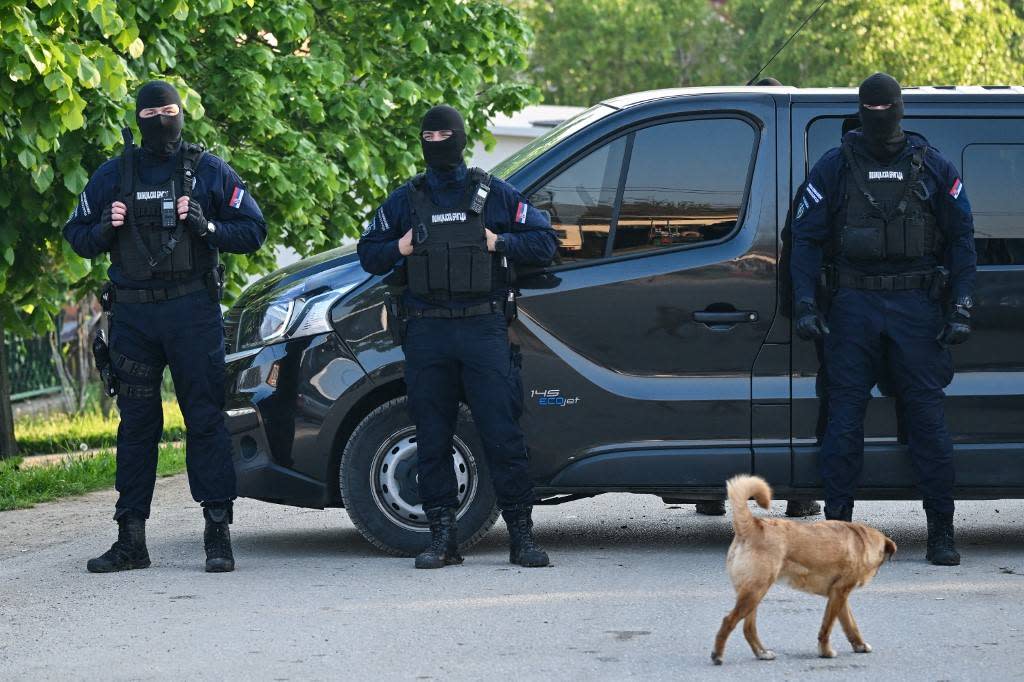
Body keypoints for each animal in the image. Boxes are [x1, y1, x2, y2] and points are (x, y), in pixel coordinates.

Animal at [712, 475, 897, 659]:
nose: (875, 574)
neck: (862, 540)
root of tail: (752, 525)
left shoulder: (839, 596)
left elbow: (850, 625)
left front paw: (859, 645)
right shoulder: (839, 593)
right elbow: (827, 627)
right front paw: (825, 651)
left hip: (752, 593)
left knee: (748, 628)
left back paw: (762, 653)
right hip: (755, 591)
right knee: (729, 620)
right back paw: (718, 654)